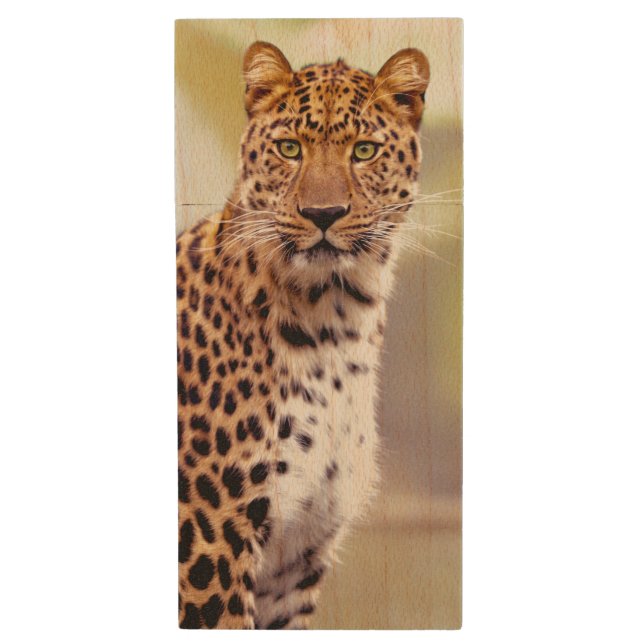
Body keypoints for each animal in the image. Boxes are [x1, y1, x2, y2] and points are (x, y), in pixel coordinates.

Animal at [176, 41, 430, 629]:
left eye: (364, 151)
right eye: (289, 148)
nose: (323, 213)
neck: (335, 325)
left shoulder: (296, 558)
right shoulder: (211, 541)